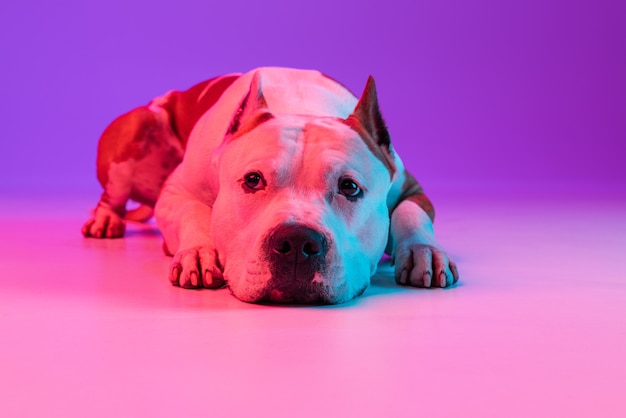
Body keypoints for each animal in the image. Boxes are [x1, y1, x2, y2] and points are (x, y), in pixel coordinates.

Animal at [80, 66, 456, 304]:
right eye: (253, 180)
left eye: (350, 188)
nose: (298, 242)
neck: (301, 106)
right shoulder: (175, 193)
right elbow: (193, 211)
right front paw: (198, 253)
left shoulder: (410, 188)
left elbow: (410, 213)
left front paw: (424, 251)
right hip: (140, 125)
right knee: (112, 196)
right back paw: (105, 220)